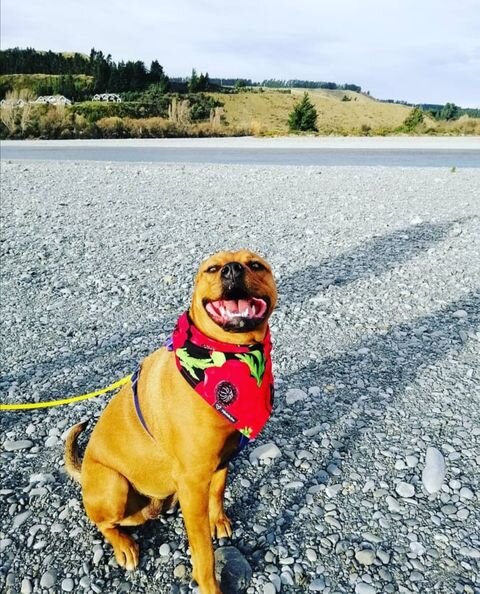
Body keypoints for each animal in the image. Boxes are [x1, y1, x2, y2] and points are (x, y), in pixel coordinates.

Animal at [64, 249, 277, 594]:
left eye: (256, 265)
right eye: (212, 269)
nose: (232, 270)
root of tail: (82, 471)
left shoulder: (221, 460)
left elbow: (218, 492)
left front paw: (218, 520)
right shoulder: (194, 481)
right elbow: (203, 553)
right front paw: (210, 585)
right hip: (113, 485)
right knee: (104, 524)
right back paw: (124, 545)